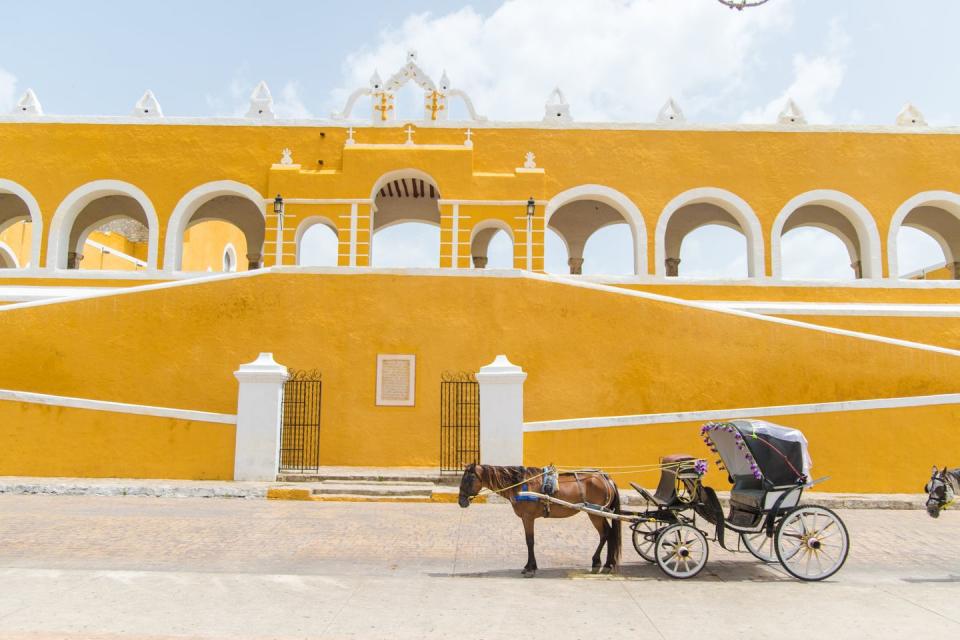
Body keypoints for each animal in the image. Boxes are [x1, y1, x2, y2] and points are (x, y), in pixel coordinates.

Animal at [460, 462, 624, 576]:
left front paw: (530, 569)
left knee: (606, 534)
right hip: (599, 513)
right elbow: (529, 541)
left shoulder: (528, 517)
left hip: (595, 514)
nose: (461, 501)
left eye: (468, 479)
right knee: (608, 534)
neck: (521, 485)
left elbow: (530, 541)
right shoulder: (526, 518)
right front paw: (529, 566)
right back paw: (604, 564)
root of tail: (606, 478)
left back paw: (602, 564)